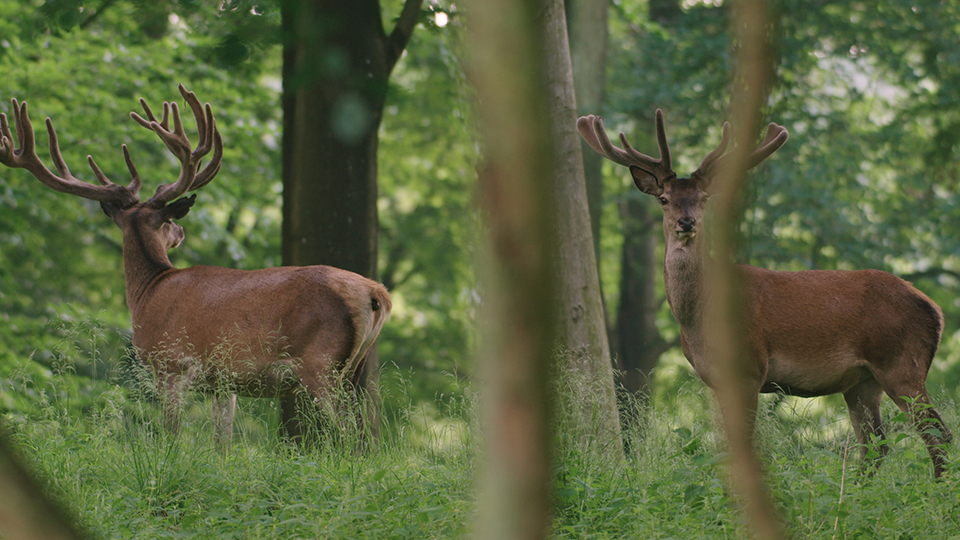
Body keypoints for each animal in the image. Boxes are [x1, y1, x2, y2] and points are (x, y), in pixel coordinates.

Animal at [0, 85, 390, 442]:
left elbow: (170, 435)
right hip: (356, 370)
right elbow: (222, 443)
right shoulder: (223, 382)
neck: (148, 291)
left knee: (351, 438)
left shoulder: (171, 363)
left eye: (169, 220)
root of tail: (377, 293)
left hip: (321, 364)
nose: (182, 230)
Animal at [576, 108, 952, 476]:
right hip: (862, 382)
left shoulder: (748, 368)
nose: (686, 222)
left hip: (902, 363)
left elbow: (743, 448)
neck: (700, 320)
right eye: (665, 199)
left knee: (938, 435)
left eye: (703, 199)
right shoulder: (717, 380)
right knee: (876, 447)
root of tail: (935, 311)